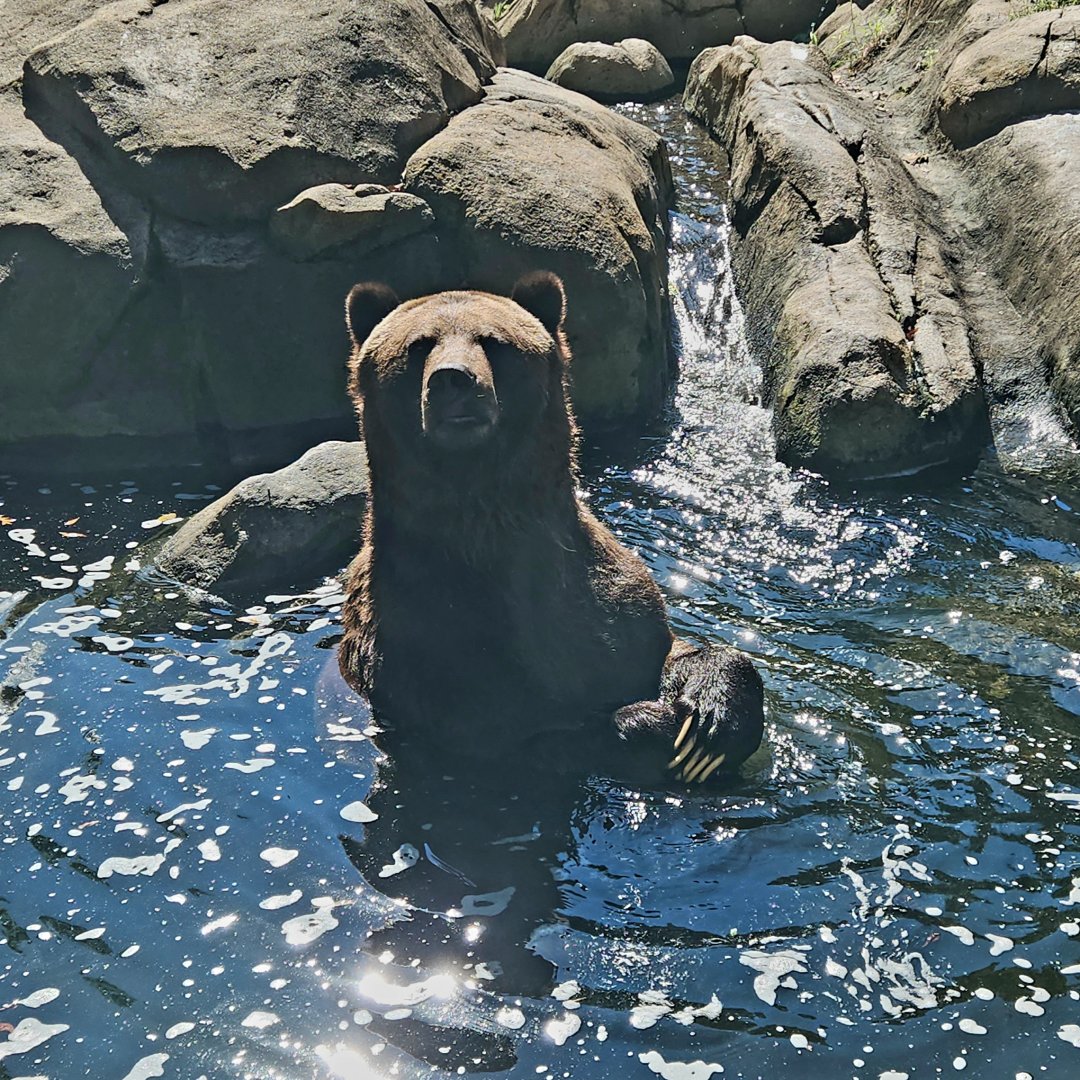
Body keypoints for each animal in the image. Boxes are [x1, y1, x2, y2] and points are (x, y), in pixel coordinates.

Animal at [337, 271, 764, 787]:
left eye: (493, 341)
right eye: (418, 346)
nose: (452, 379)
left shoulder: (607, 604)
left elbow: (663, 646)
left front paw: (710, 720)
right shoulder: (426, 647)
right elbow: (525, 733)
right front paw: (656, 724)